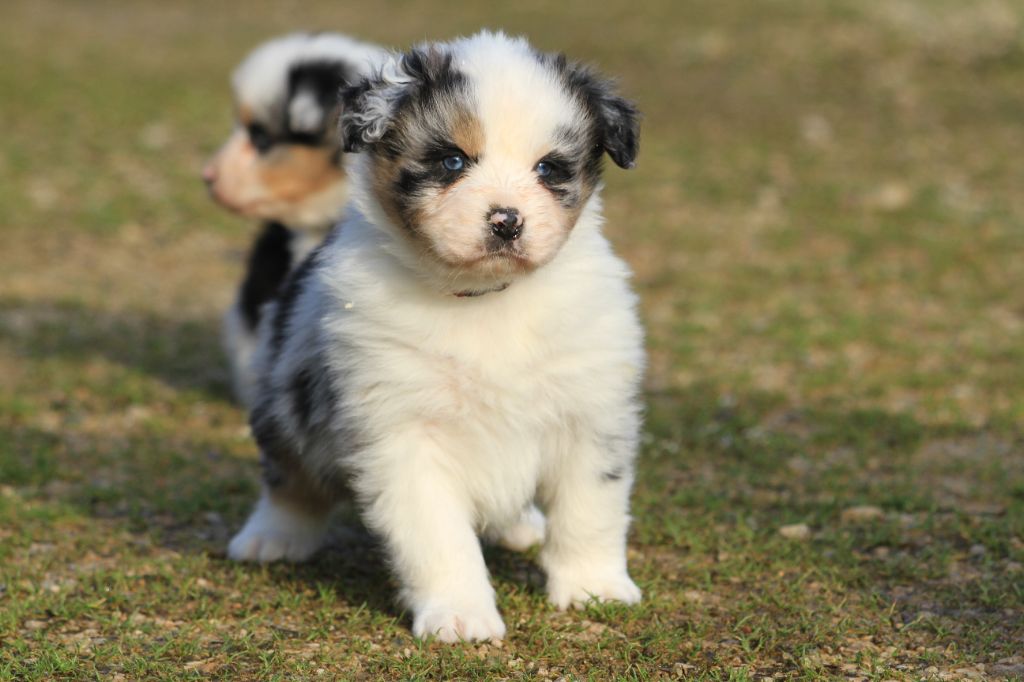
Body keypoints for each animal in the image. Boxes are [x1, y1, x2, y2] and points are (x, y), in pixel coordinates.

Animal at [233, 29, 647, 638]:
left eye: (549, 169)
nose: (506, 221)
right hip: (284, 397)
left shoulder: (590, 413)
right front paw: (460, 616)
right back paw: (270, 538)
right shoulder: (402, 433)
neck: (485, 299)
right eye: (452, 160)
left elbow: (590, 509)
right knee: (290, 477)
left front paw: (594, 589)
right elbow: (438, 537)